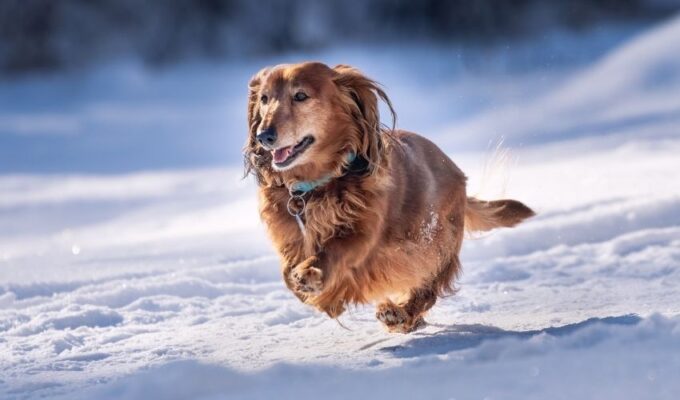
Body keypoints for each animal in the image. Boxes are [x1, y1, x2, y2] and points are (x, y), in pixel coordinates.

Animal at [242, 61, 532, 332]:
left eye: (300, 95)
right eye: (264, 99)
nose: (263, 136)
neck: (317, 186)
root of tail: (457, 172)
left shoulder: (364, 235)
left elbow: (334, 250)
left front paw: (312, 275)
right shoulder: (291, 239)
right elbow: (286, 273)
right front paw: (320, 296)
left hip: (435, 246)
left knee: (426, 291)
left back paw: (400, 314)